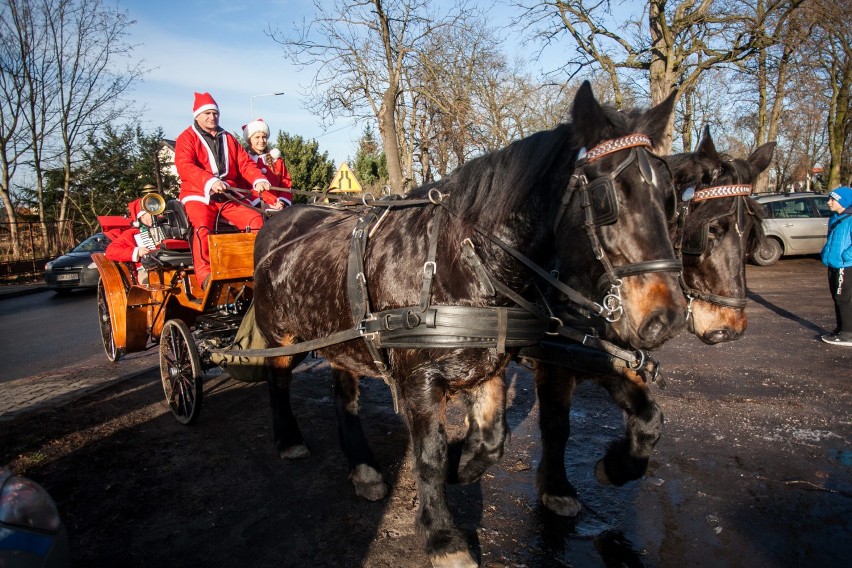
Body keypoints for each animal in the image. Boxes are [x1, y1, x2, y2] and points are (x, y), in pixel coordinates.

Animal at [251, 82, 684, 564]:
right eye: (609, 197)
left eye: (670, 198)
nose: (667, 317)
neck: (463, 260)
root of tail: (281, 219)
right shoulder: (421, 377)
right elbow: (431, 453)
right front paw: (443, 536)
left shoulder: (496, 362)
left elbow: (494, 440)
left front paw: (465, 464)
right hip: (280, 335)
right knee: (277, 380)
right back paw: (290, 439)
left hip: (342, 335)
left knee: (344, 393)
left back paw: (363, 467)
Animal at [536, 127, 776, 516]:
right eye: (712, 229)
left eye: (753, 234)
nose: (732, 327)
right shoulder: (554, 357)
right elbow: (556, 426)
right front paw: (556, 488)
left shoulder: (612, 355)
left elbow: (650, 419)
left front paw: (617, 466)